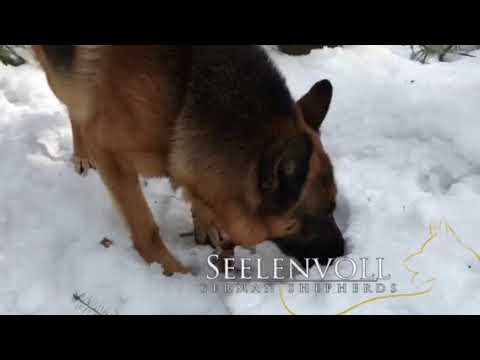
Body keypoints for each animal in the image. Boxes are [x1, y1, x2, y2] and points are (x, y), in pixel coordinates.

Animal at [32, 45, 344, 276]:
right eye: (326, 210)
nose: (343, 252)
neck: (183, 95)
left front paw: (206, 223)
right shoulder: (111, 155)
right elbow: (147, 229)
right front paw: (173, 273)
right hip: (60, 79)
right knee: (74, 106)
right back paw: (82, 153)